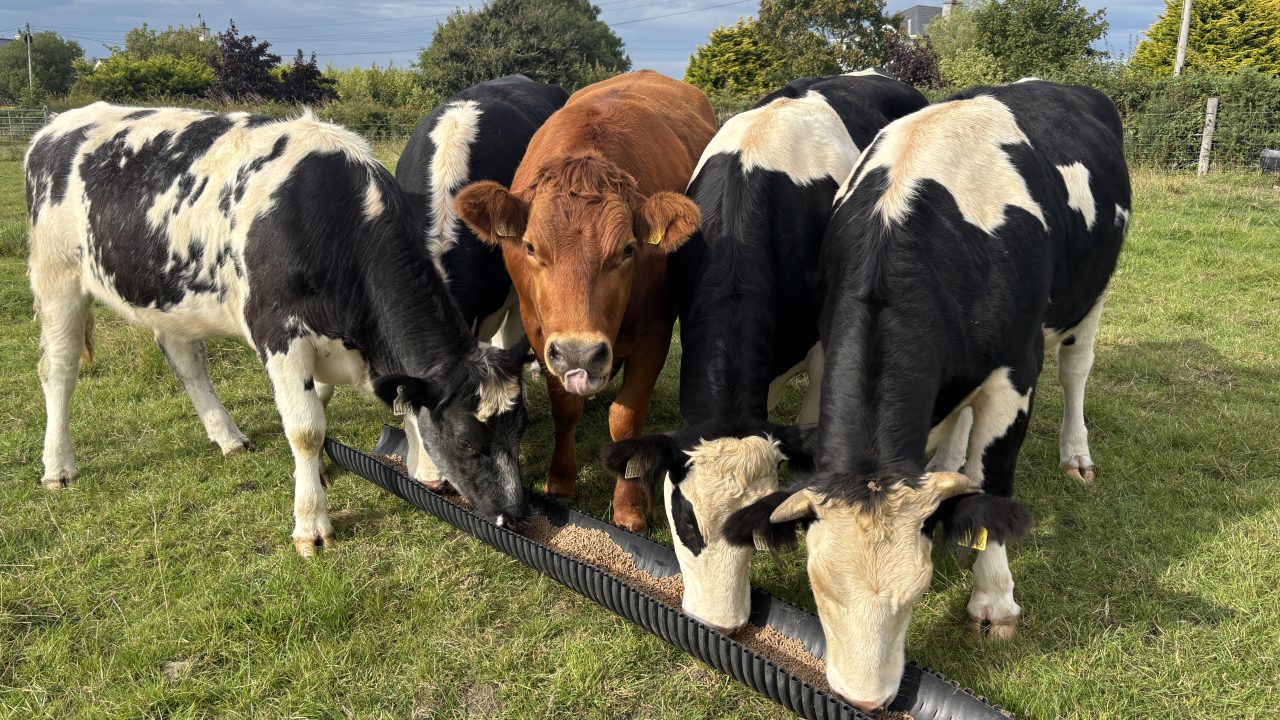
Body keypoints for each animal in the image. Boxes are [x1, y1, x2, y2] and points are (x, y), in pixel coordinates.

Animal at [26, 103, 530, 556]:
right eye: (468, 441)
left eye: (519, 428)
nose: (515, 514)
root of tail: (55, 125)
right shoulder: (279, 331)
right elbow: (306, 429)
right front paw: (311, 523)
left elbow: (398, 406)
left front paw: (420, 469)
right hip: (56, 277)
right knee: (58, 370)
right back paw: (58, 466)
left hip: (169, 297)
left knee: (187, 363)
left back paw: (228, 437)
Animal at [455, 70, 716, 531]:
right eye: (530, 247)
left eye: (627, 250)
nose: (580, 353)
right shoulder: (540, 332)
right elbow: (565, 408)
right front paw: (561, 483)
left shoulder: (656, 333)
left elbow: (626, 420)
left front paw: (629, 508)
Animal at [724, 80, 1130, 711]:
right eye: (818, 587)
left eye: (916, 594)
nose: (865, 700)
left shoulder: (1015, 373)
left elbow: (994, 485)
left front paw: (993, 598)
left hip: (1092, 296)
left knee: (1076, 371)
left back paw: (1075, 455)